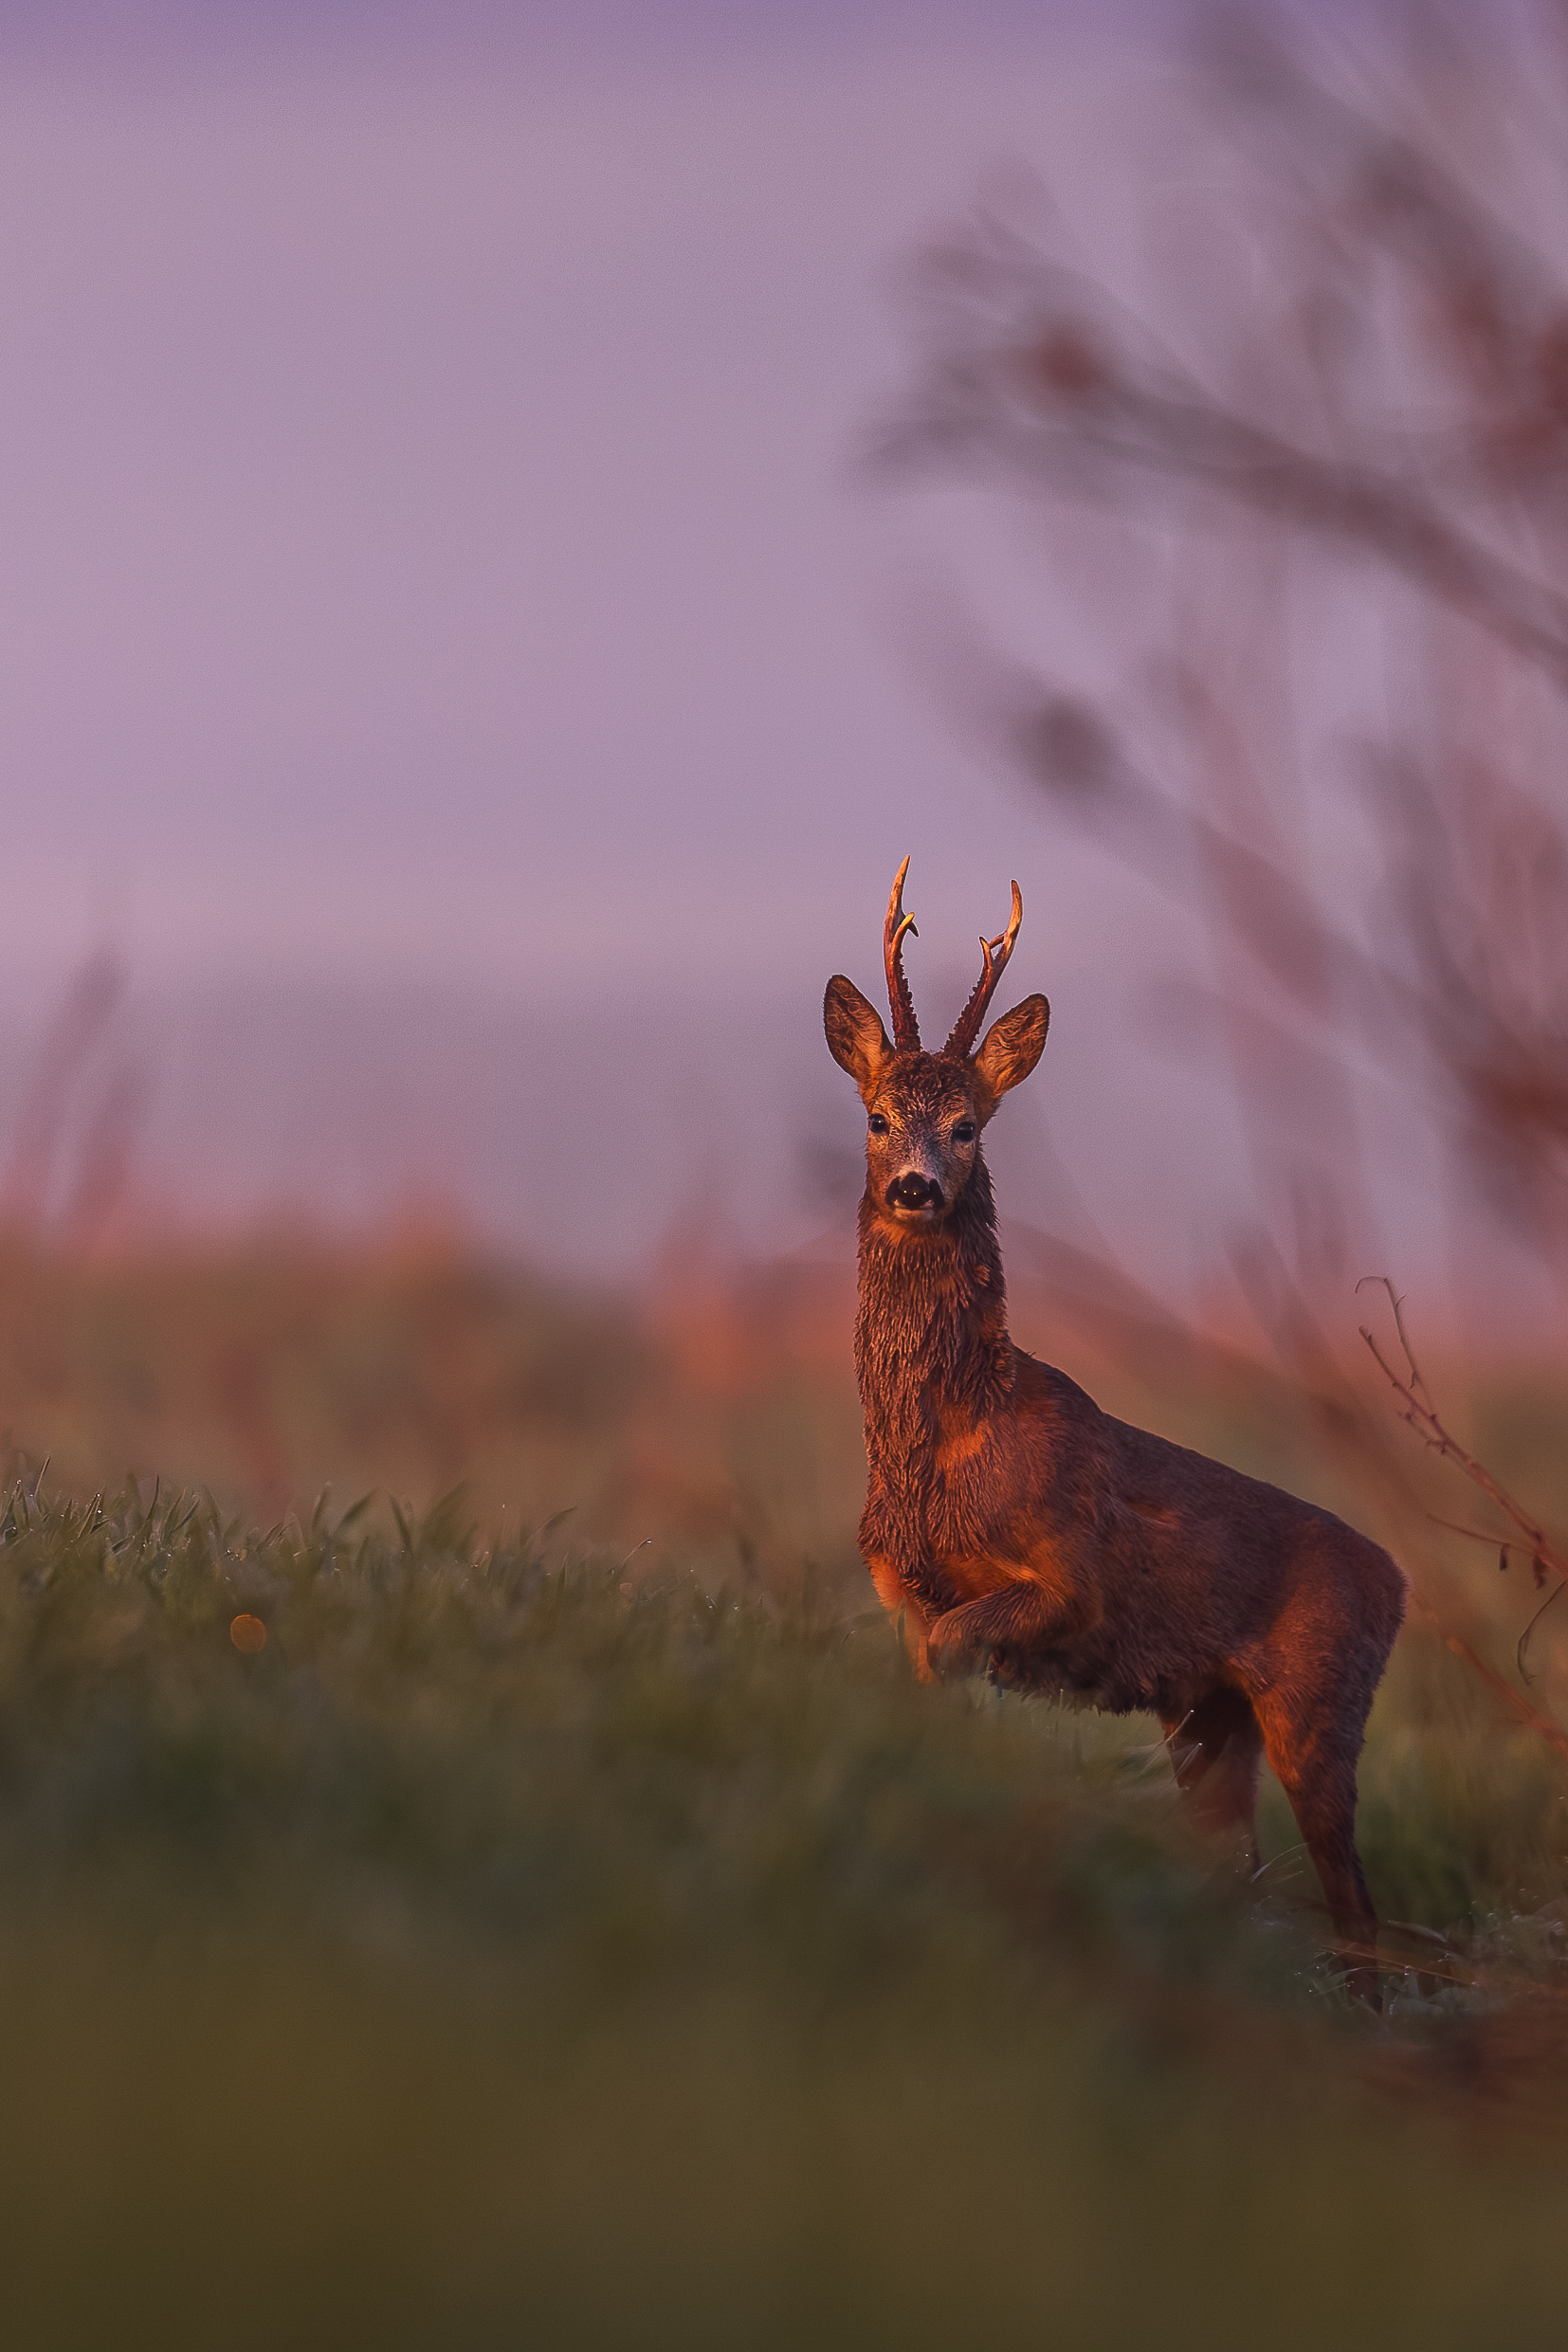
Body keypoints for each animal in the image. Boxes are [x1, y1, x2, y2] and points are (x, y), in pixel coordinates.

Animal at [827, 866, 1400, 2003]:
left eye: (969, 1125)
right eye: (877, 1117)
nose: (916, 1185)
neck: (941, 1449)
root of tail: (1400, 1583)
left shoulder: (1069, 1571)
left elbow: (966, 1644)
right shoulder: (899, 1591)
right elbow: (928, 1684)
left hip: (1320, 1700)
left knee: (1354, 1905)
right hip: (1208, 1715)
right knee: (1240, 1865)